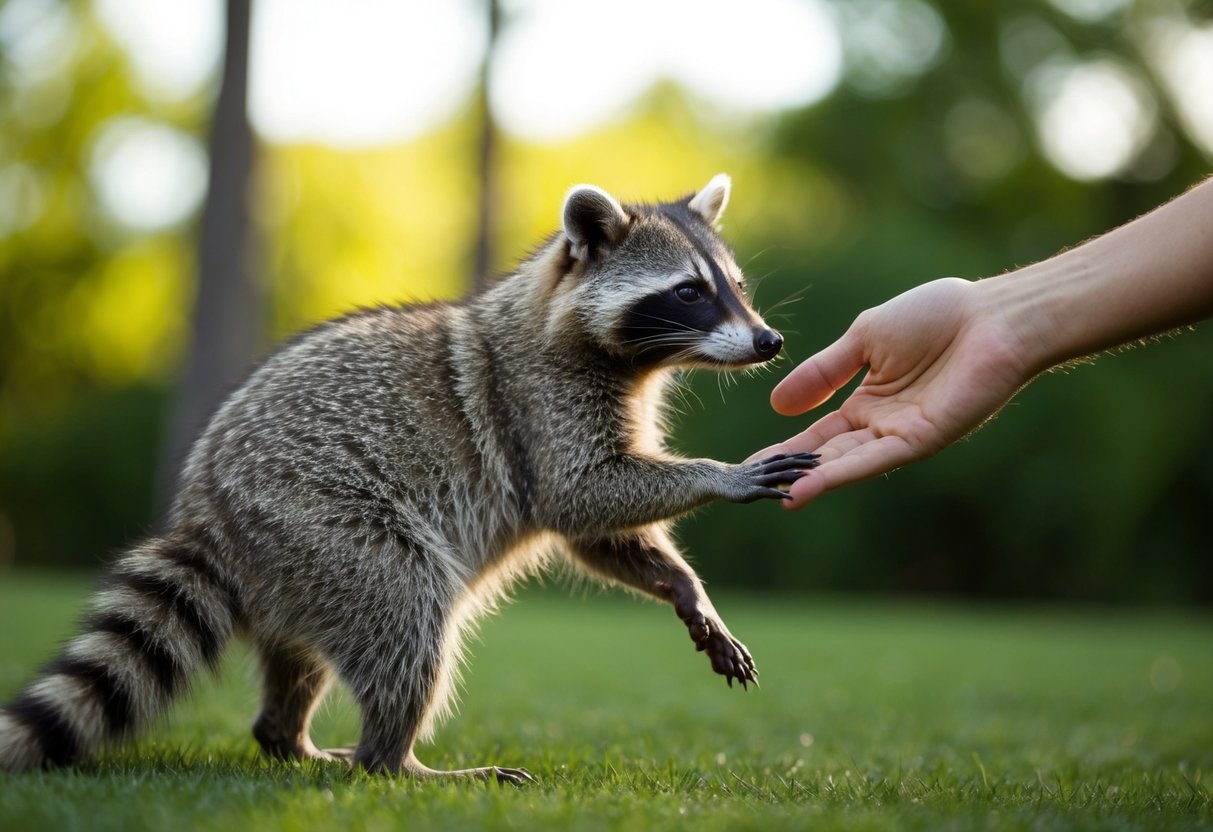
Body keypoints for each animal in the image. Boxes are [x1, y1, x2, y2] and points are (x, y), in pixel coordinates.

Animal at [0, 174, 817, 783]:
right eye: (688, 292)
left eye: (734, 284)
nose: (768, 340)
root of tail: (207, 514)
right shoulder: (541, 404)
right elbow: (582, 493)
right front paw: (723, 477)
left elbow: (595, 532)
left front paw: (686, 589)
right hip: (321, 522)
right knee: (408, 611)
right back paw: (396, 760)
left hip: (293, 570)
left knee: (304, 659)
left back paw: (287, 736)